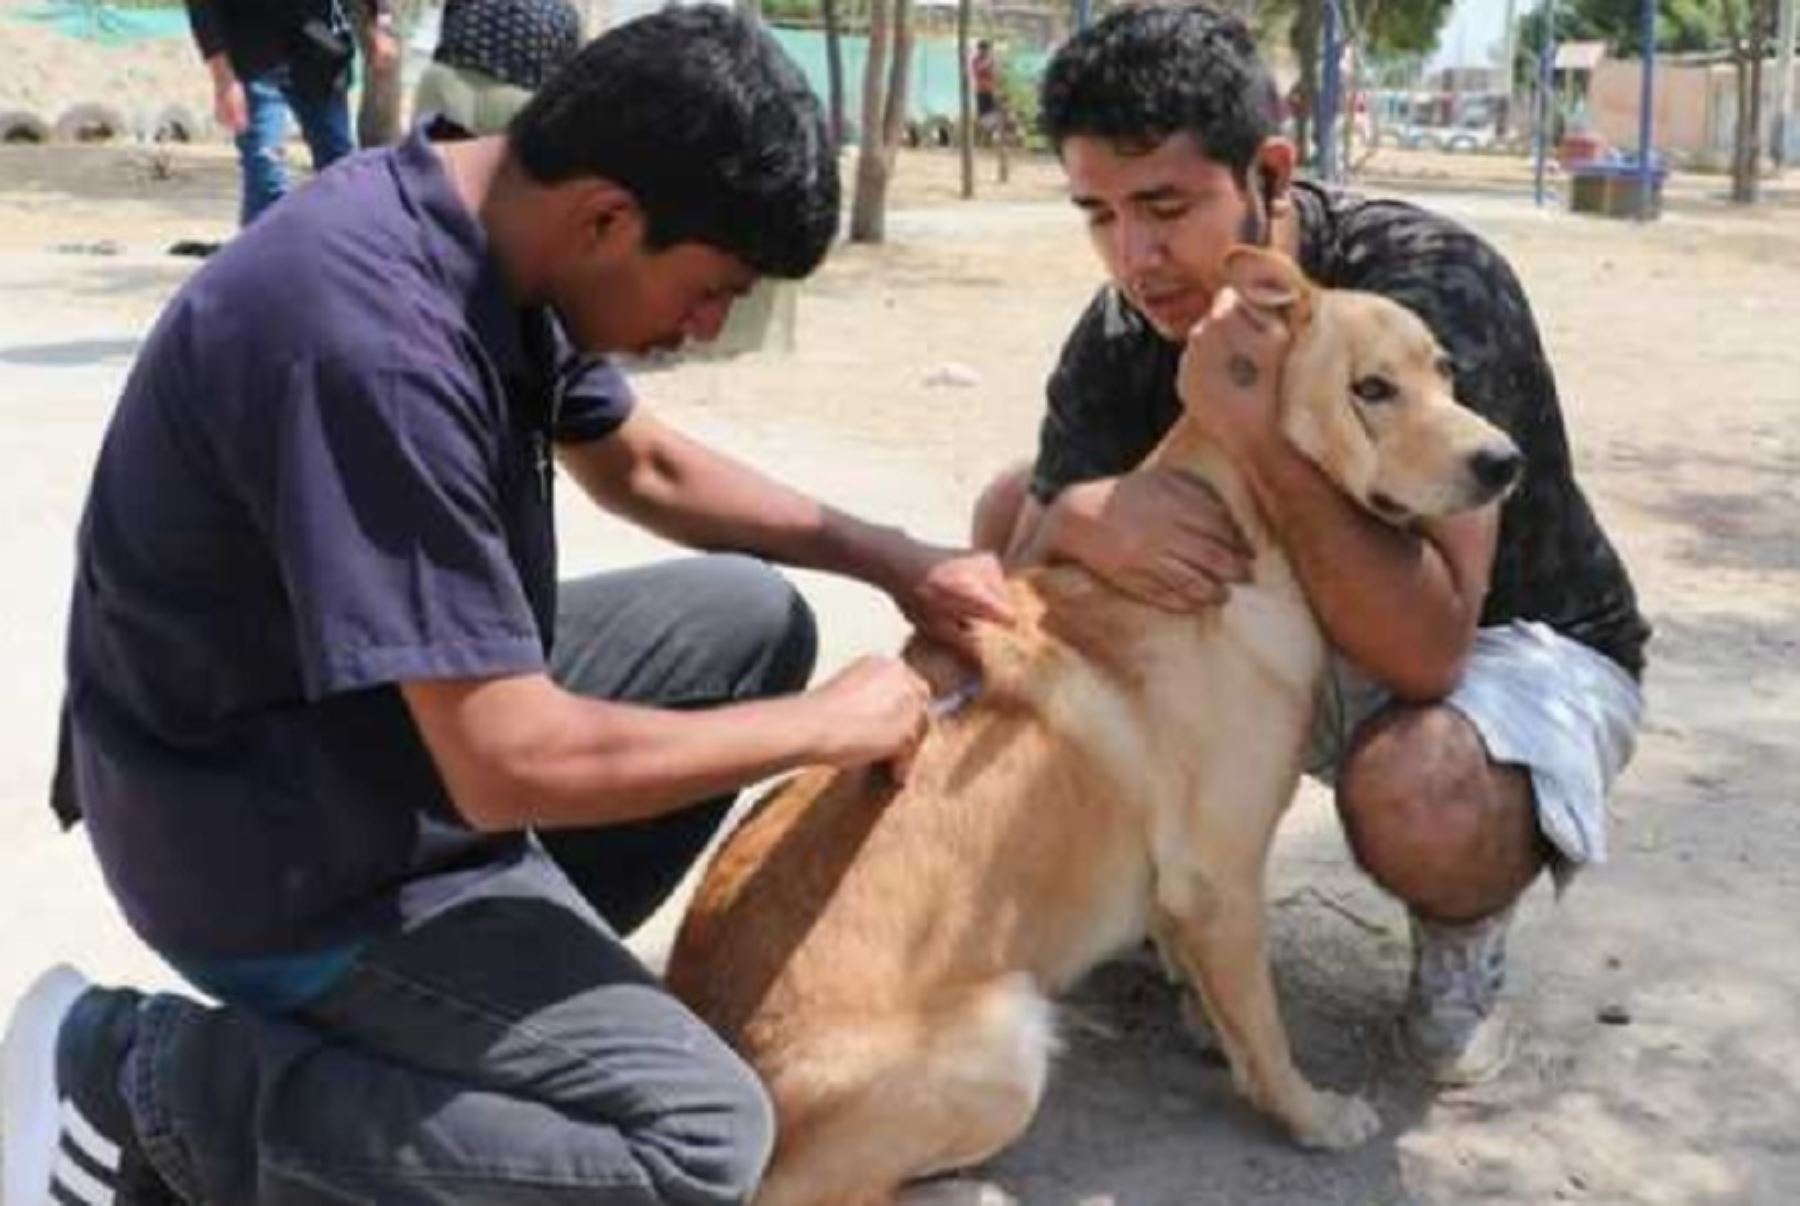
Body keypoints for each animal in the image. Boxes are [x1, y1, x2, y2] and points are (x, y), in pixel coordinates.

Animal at [669, 248, 1526, 1206]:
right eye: (1371, 389)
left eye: (1446, 371)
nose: (1506, 461)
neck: (1250, 530)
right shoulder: (1220, 877)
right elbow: (1266, 1030)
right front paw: (1310, 1115)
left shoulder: (1196, 895)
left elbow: (1224, 999)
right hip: (1009, 1037)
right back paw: (965, 1189)